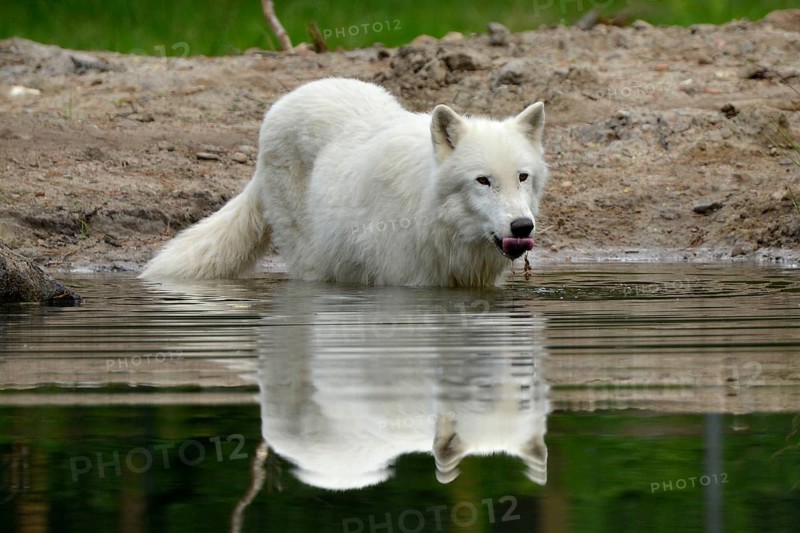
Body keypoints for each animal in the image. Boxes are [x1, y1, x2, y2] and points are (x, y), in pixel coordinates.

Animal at [140, 78, 548, 287]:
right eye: (483, 181)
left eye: (522, 177)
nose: (522, 226)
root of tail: (282, 103)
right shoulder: (407, 285)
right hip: (313, 261)